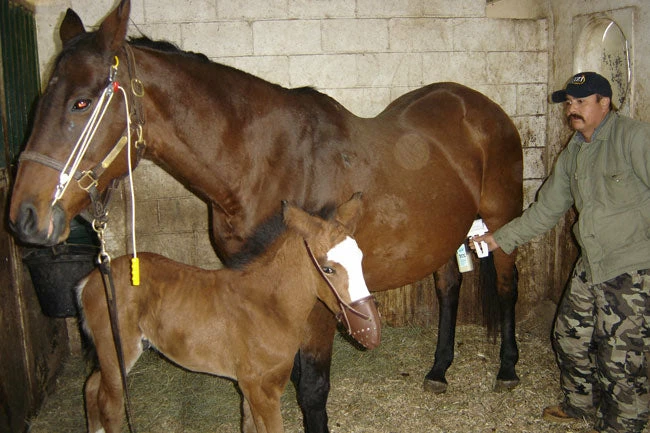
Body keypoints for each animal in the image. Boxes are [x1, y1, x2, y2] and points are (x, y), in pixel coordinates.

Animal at [79, 194, 380, 433]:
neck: (267, 306)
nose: (372, 329)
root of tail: (92, 279)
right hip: (117, 350)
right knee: (110, 404)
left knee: (92, 387)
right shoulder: (262, 390)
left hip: (113, 353)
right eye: (328, 268)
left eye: (361, 258)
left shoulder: (254, 386)